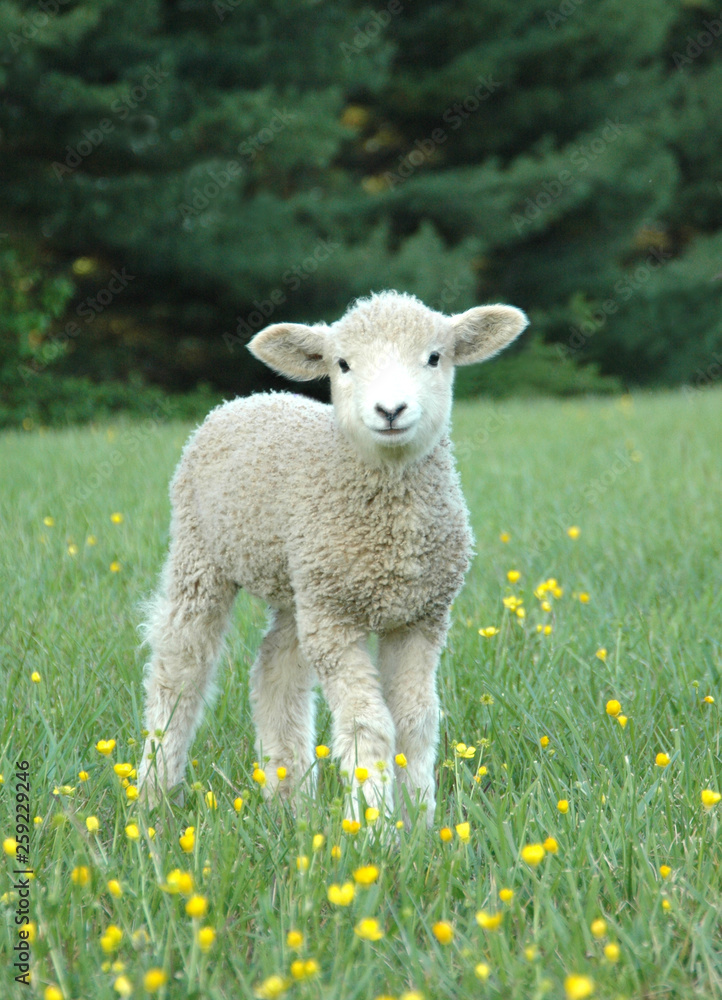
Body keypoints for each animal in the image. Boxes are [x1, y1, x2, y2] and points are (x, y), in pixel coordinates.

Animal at [138, 290, 527, 822]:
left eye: (434, 357)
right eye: (342, 364)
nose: (390, 409)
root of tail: (248, 398)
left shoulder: (422, 617)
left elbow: (416, 720)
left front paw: (421, 822)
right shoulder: (335, 622)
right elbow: (369, 725)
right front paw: (374, 823)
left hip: (299, 580)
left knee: (275, 669)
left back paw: (288, 800)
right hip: (201, 552)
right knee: (180, 667)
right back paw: (153, 794)